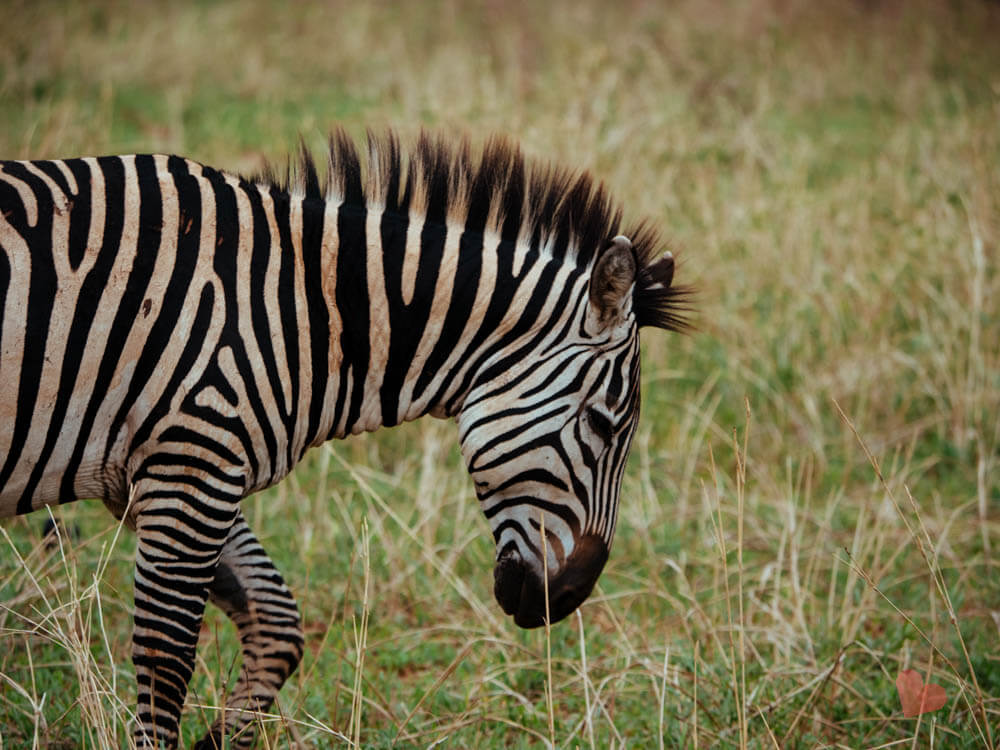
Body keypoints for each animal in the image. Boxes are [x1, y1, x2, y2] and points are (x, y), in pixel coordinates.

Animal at [0, 132, 688, 748]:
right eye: (603, 425)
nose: (568, 598)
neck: (308, 310)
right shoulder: (192, 466)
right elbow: (167, 660)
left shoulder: (171, 471)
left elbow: (276, 621)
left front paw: (219, 739)